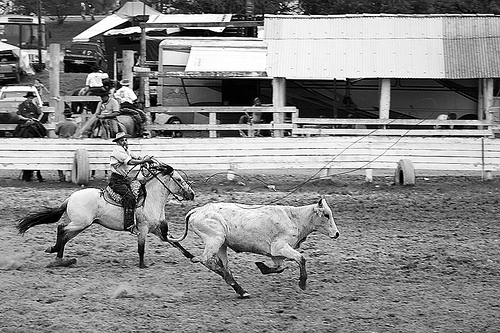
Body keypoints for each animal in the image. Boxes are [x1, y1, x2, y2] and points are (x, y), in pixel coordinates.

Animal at [16, 161, 195, 268]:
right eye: (179, 179)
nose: (191, 194)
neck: (150, 199)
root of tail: (70, 198)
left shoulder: (157, 230)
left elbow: (176, 244)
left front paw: (193, 257)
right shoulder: (143, 229)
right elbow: (141, 248)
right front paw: (142, 265)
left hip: (81, 225)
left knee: (65, 236)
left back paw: (59, 257)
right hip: (80, 223)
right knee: (61, 228)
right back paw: (56, 253)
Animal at [185, 197, 340, 296]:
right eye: (326, 215)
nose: (337, 234)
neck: (295, 218)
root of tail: (197, 211)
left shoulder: (276, 254)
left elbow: (280, 268)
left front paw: (262, 267)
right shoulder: (280, 247)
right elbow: (301, 258)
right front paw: (302, 283)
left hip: (222, 244)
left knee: (223, 265)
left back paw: (241, 290)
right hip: (215, 239)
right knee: (206, 260)